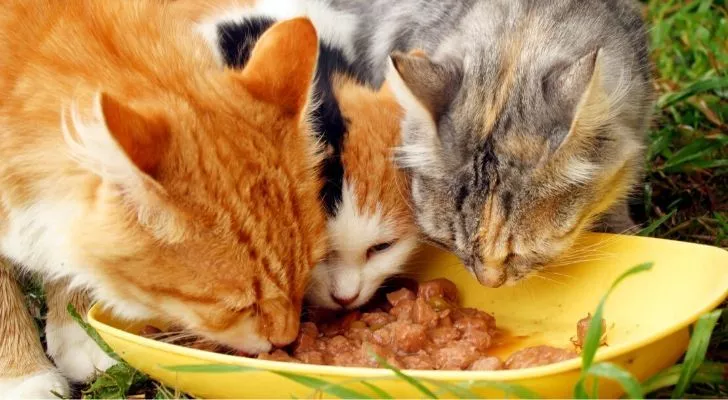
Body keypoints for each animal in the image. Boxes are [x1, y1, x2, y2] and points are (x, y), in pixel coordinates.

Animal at [0, 2, 326, 396]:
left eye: (306, 273)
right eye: (239, 307)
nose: (286, 340)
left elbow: (69, 263)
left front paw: (80, 334)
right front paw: (23, 376)